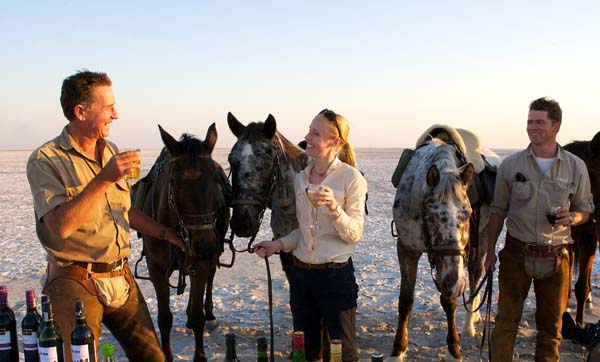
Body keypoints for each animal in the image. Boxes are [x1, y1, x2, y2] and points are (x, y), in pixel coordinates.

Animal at [139, 123, 231, 360]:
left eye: (216, 179)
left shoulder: (200, 262)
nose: (205, 245)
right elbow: (164, 319)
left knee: (210, 278)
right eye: (176, 182)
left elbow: (199, 317)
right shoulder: (156, 269)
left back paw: (208, 312)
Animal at [392, 132, 480, 360]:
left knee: (476, 276)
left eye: (467, 213)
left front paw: (454, 351)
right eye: (431, 217)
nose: (456, 284)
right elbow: (405, 301)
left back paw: (470, 324)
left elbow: (449, 301)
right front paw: (397, 351)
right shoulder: (406, 249)